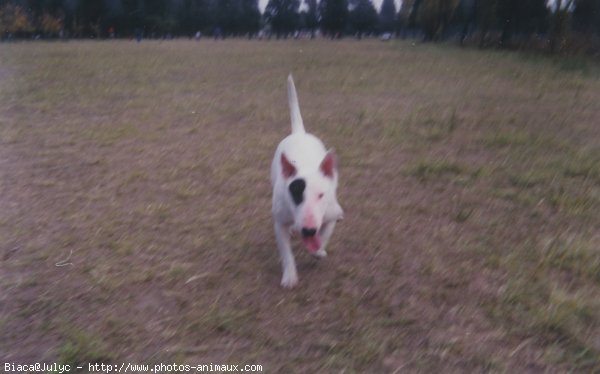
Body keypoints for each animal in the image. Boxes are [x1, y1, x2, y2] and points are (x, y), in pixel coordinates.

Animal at [270, 74, 342, 288]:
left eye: (321, 195)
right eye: (295, 195)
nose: (309, 230)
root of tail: (299, 133)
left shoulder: (330, 215)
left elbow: (324, 235)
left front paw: (318, 251)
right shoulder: (280, 222)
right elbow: (286, 252)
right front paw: (290, 276)